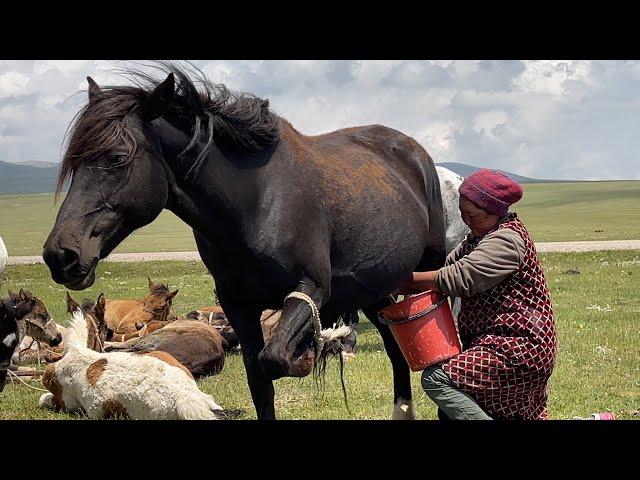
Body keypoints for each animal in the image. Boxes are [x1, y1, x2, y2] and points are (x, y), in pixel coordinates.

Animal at [43, 62, 444, 418]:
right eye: (74, 162)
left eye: (117, 157)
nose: (60, 254)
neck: (254, 205)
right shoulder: (238, 307)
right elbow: (260, 378)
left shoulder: (311, 290)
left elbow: (275, 358)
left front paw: (314, 349)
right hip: (378, 290)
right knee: (396, 349)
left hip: (431, 271)